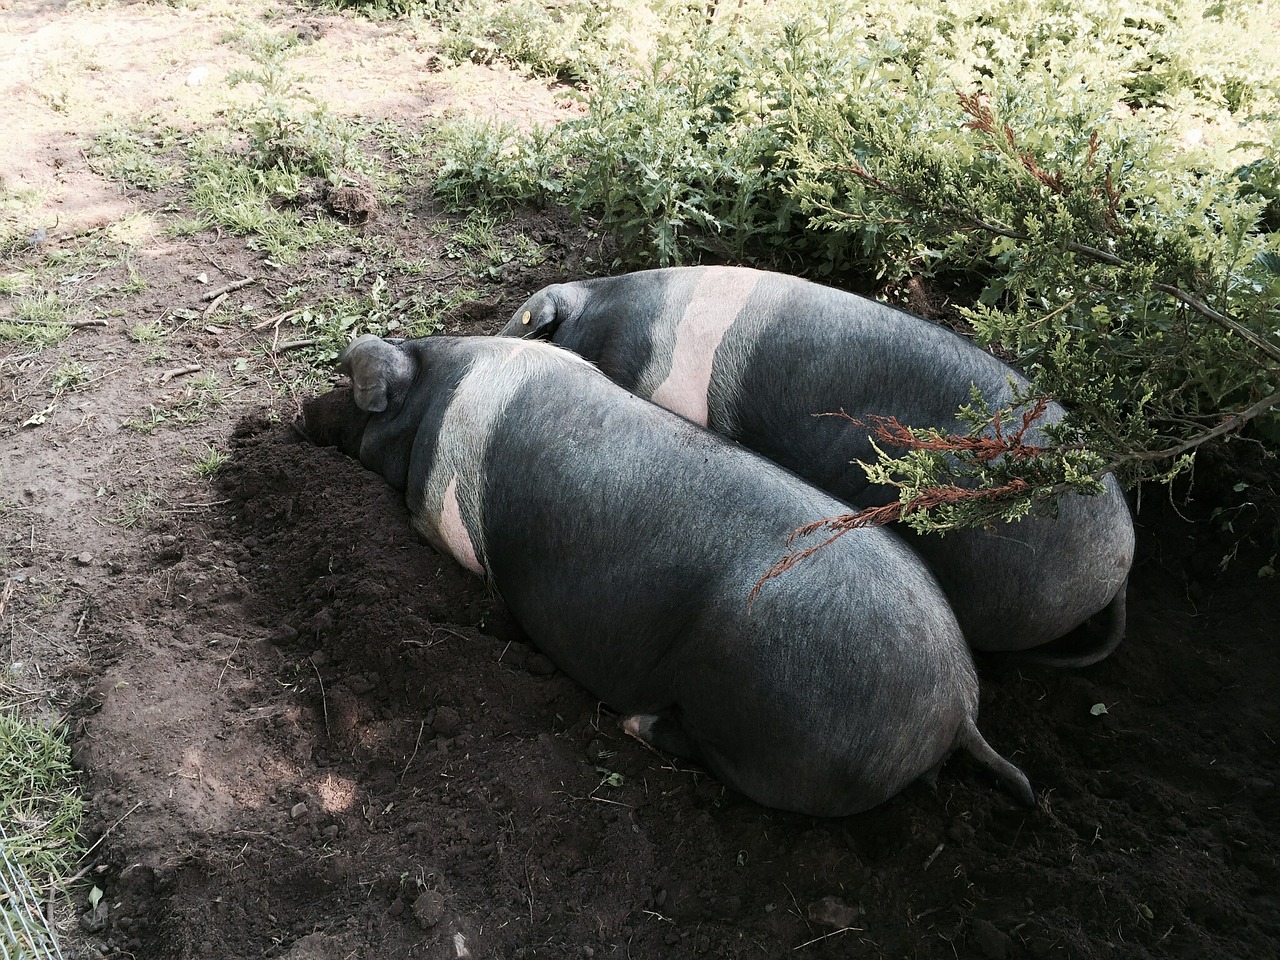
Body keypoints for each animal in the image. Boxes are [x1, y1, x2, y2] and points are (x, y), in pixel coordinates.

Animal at [294, 335, 1034, 814]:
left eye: (355, 395)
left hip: (768, 729)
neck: (435, 398)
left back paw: (634, 725)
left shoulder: (442, 520)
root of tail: (956, 705)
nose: (301, 408)